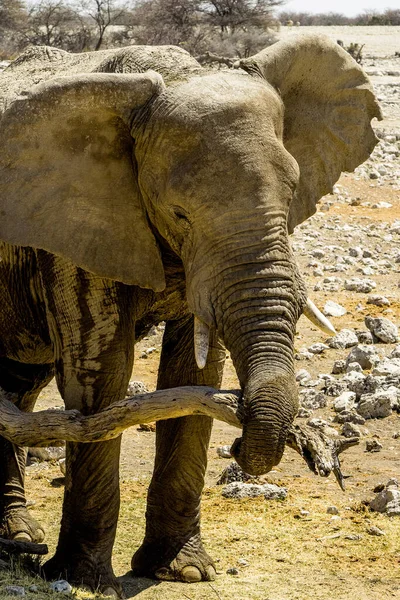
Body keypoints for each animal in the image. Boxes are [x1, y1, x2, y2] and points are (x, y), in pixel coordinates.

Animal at [0, 36, 382, 596]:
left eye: (292, 194)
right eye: (179, 212)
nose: (243, 439)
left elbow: (194, 373)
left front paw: (183, 571)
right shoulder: (71, 224)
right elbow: (100, 377)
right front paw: (84, 581)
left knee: (19, 386)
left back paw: (19, 538)